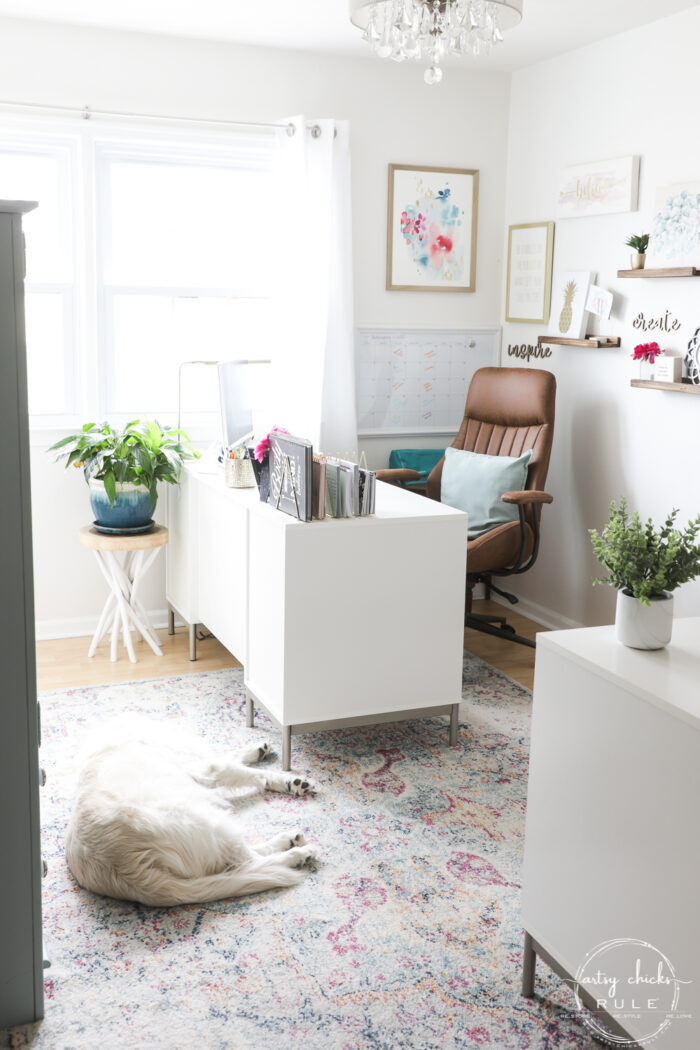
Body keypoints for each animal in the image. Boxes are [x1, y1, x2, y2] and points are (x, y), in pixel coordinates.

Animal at [65, 722, 316, 911]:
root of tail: (123, 868)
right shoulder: (207, 769)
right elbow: (251, 773)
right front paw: (291, 781)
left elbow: (232, 756)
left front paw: (257, 750)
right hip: (205, 820)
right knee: (249, 861)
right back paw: (297, 854)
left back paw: (289, 840)